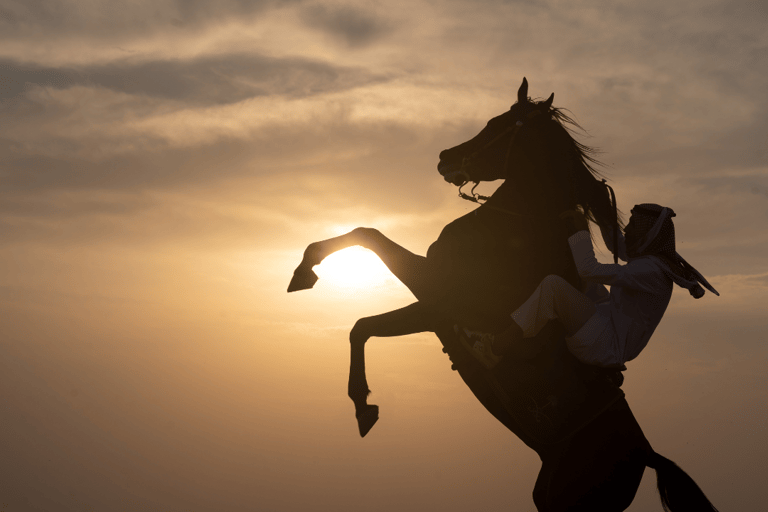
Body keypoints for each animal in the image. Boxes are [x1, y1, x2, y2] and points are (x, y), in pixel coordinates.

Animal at [288, 78, 718, 512]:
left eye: (496, 124)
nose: (445, 158)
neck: (516, 234)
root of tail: (646, 454)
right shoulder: (434, 311)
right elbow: (363, 309)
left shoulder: (440, 296)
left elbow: (366, 265)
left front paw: (361, 401)